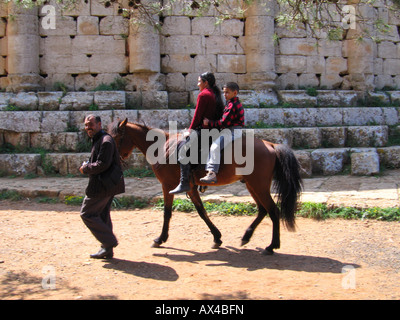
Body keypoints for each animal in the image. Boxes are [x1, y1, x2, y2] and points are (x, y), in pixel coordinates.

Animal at [109, 119, 304, 254]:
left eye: (117, 137)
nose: (114, 159)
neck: (163, 148)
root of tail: (270, 144)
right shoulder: (190, 187)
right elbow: (201, 211)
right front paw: (217, 237)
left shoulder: (168, 186)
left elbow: (167, 213)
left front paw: (160, 238)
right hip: (252, 185)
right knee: (263, 210)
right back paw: (247, 237)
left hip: (259, 186)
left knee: (273, 211)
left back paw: (272, 246)